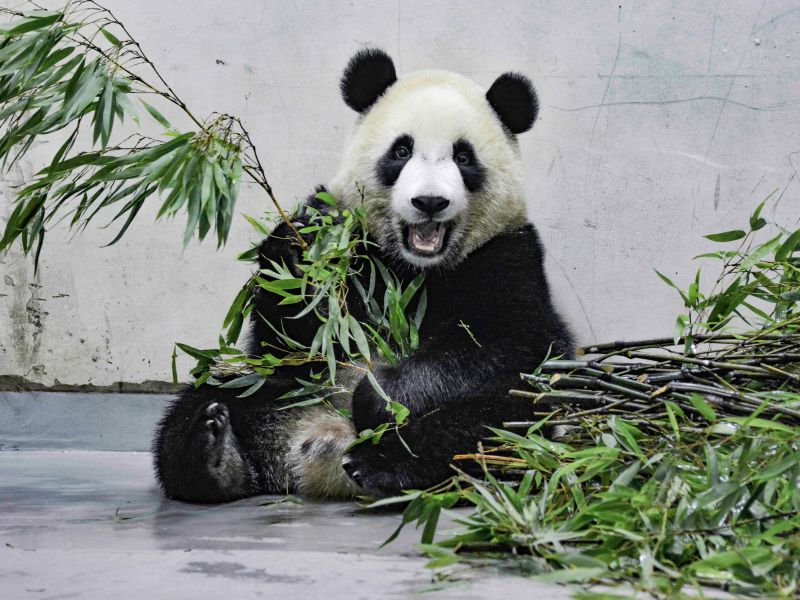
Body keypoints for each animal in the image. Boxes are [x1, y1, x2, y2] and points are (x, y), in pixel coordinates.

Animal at [153, 49, 572, 502]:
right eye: (401, 150)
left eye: (463, 157)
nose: (429, 201)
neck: (412, 270)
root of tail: (322, 445)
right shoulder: (352, 250)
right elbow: (286, 337)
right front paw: (295, 257)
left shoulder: (508, 255)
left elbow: (504, 341)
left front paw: (380, 395)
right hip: (276, 390)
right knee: (198, 405)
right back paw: (214, 451)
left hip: (537, 412)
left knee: (499, 418)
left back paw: (383, 461)